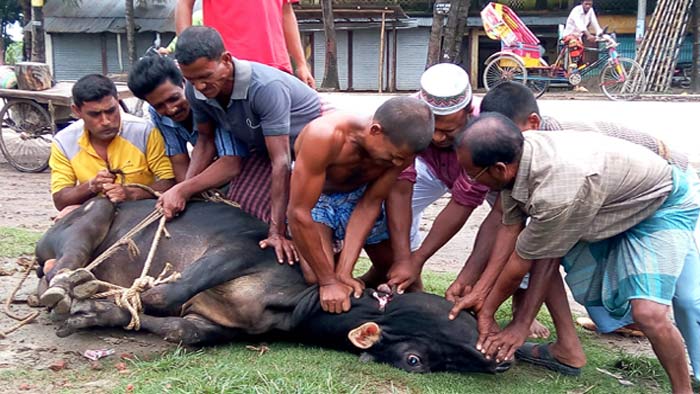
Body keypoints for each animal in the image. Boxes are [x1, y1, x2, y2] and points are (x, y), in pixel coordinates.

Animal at [35, 199, 508, 374]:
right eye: (413, 360)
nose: (497, 361)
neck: (292, 304)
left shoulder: (214, 322)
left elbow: (181, 330)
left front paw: (94, 312)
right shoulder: (237, 250)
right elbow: (160, 294)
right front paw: (89, 300)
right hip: (96, 211)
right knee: (61, 265)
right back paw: (66, 283)